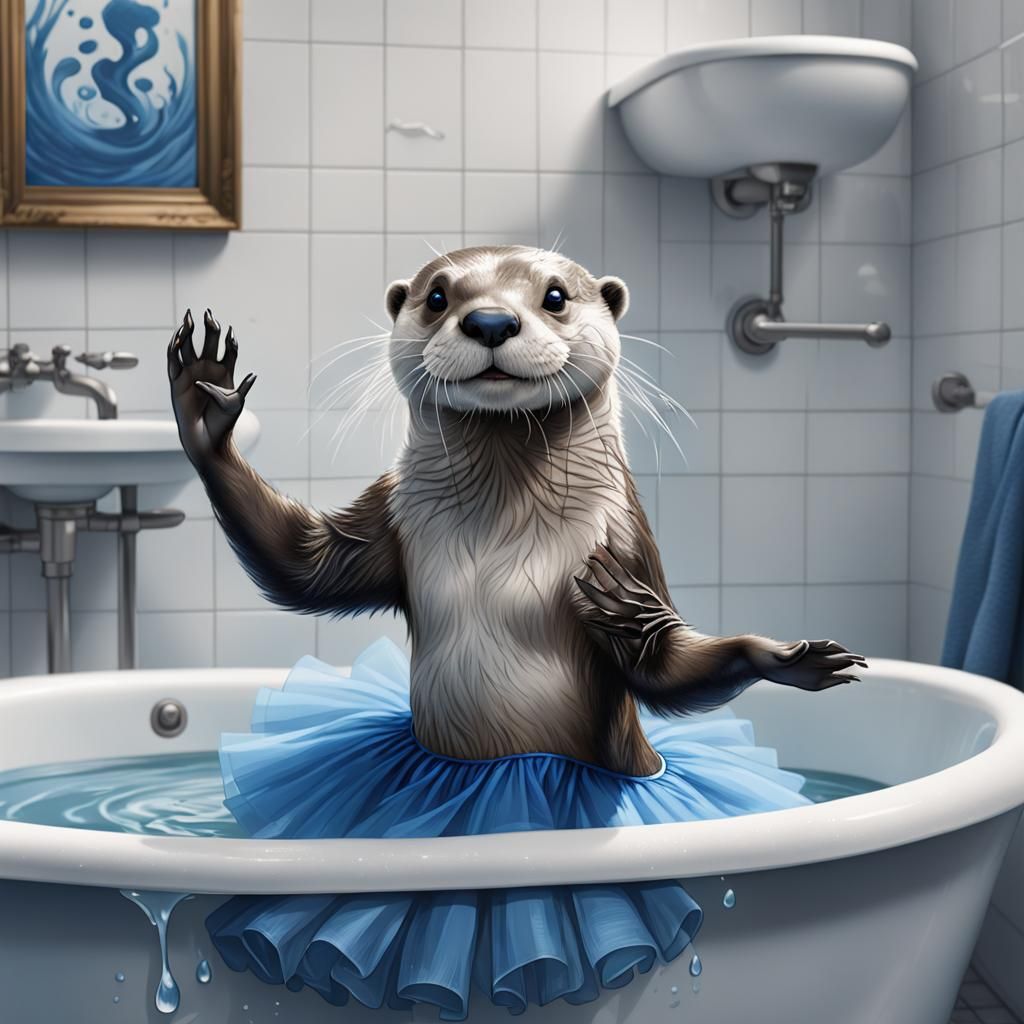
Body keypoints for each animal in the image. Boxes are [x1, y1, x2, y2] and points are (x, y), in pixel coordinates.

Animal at [168, 245, 864, 777]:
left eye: (555, 296)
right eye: (437, 297)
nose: (491, 320)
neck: (499, 533)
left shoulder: (625, 538)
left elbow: (657, 666)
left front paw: (777, 655)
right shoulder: (390, 514)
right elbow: (304, 568)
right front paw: (204, 409)